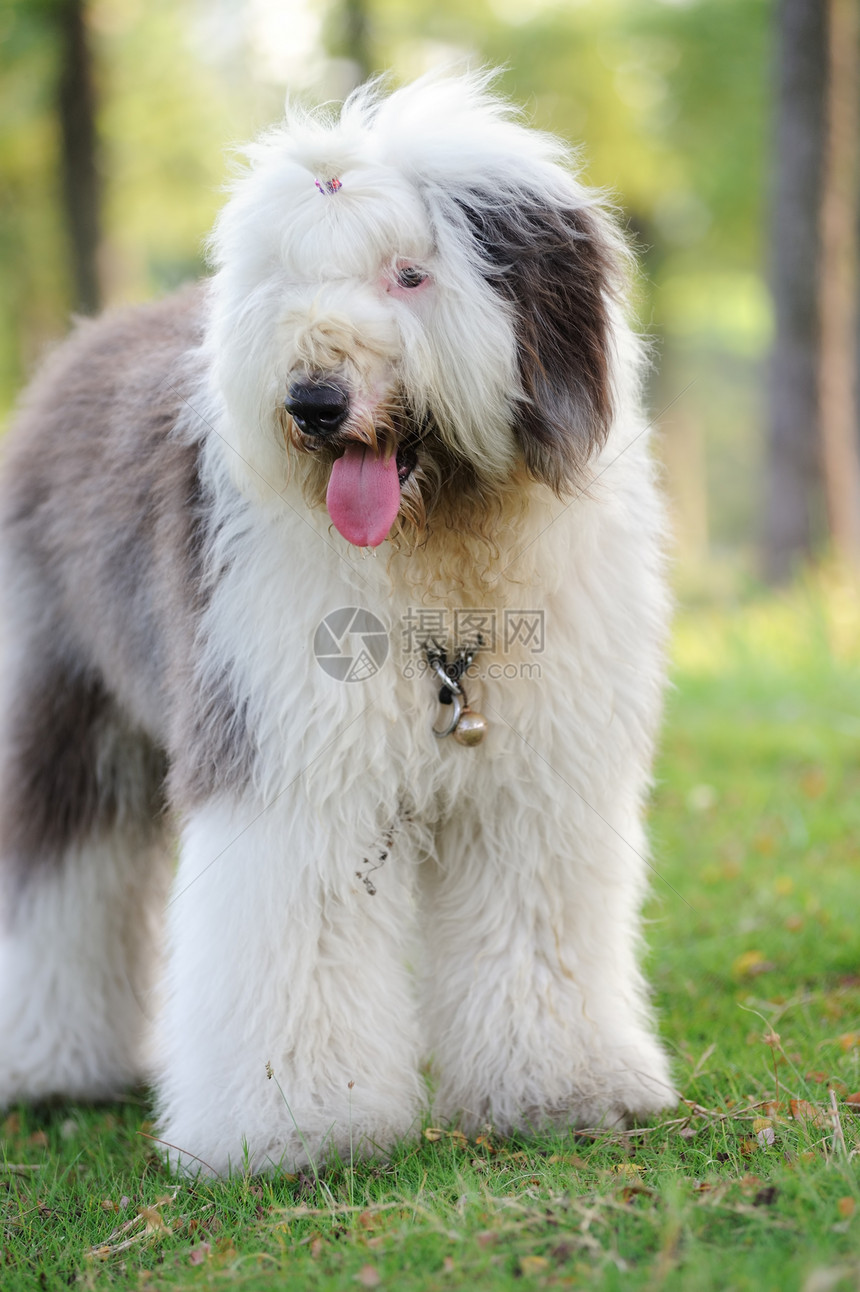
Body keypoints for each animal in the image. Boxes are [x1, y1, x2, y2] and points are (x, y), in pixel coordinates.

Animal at [0, 75, 671, 1178]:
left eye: (409, 275)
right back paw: (49, 1065)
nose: (313, 400)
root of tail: (83, 340)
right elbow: (294, 937)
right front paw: (293, 1128)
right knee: (55, 866)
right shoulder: (291, 764)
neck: (438, 557)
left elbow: (537, 928)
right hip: (59, 698)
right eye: (286, 281)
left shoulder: (536, 784)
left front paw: (561, 1091)